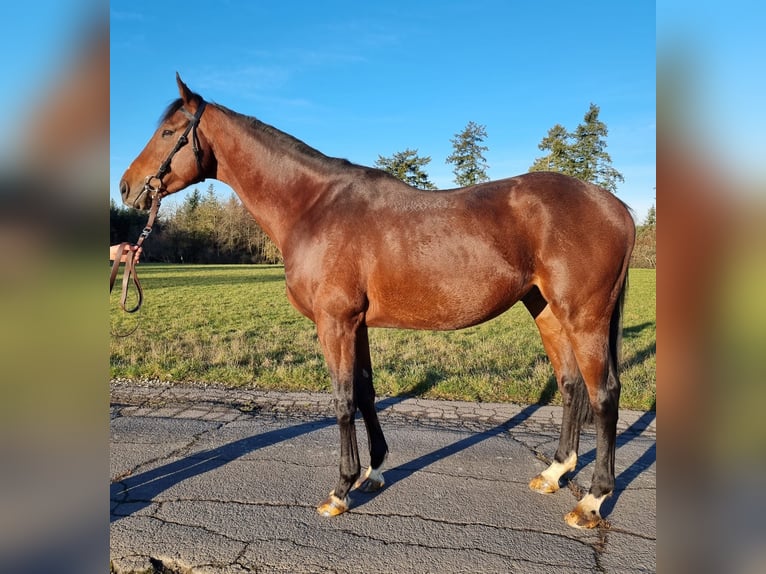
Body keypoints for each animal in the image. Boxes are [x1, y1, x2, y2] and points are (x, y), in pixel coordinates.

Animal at [120, 75, 636, 532]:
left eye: (167, 132)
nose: (127, 187)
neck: (313, 206)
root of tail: (618, 207)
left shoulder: (335, 322)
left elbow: (343, 398)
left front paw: (340, 489)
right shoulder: (358, 323)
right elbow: (367, 391)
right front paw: (375, 471)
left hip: (584, 318)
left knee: (603, 395)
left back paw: (592, 501)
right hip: (546, 310)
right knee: (571, 386)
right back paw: (555, 472)